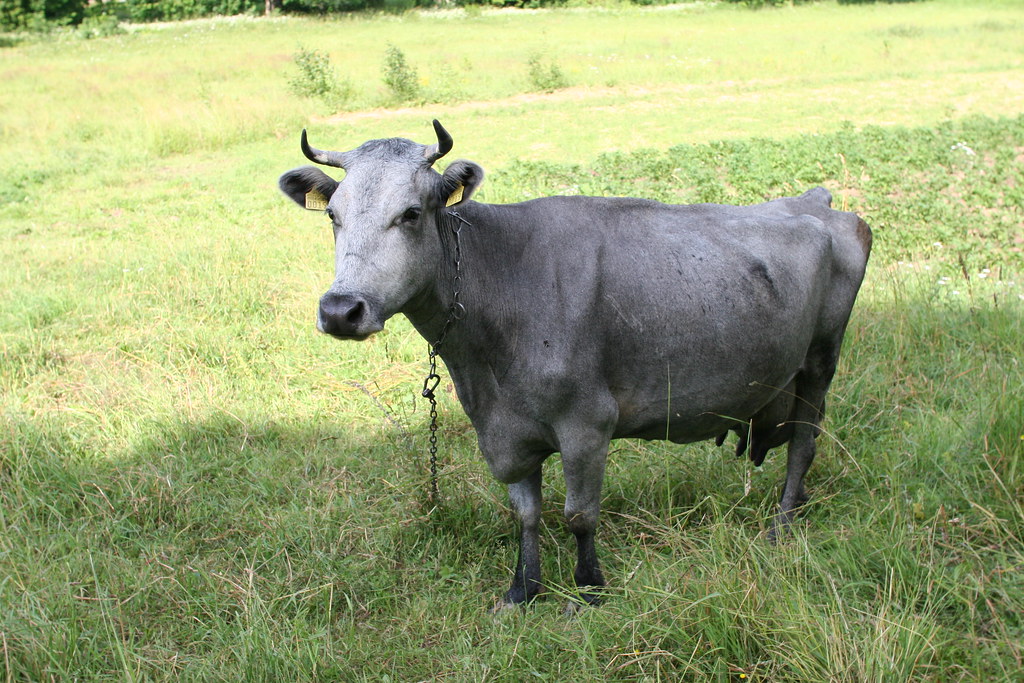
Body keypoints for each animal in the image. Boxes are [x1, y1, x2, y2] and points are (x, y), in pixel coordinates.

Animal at [278, 120, 872, 608]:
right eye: (333, 215)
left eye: (411, 213)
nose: (341, 310)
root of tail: (818, 199)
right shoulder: (505, 432)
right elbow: (526, 514)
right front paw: (522, 590)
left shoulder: (587, 424)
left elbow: (579, 514)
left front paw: (588, 589)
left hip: (820, 363)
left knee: (803, 446)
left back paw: (782, 523)